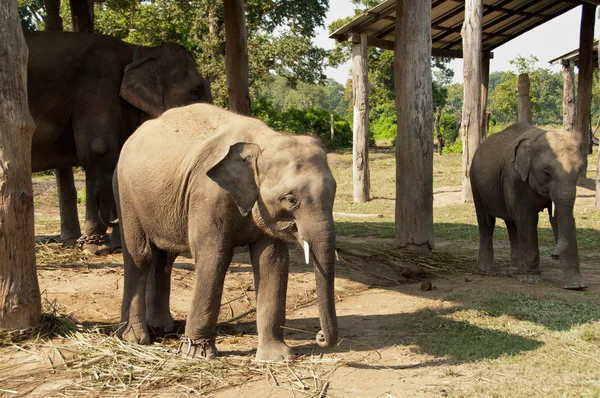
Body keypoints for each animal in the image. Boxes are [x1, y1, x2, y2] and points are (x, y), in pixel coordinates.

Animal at [25, 31, 213, 255]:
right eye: (196, 90)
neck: (140, 52)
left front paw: (116, 244)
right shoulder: (96, 88)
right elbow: (99, 149)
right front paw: (95, 247)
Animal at [112, 102, 338, 360]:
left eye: (334, 193)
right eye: (291, 200)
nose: (320, 336)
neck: (262, 140)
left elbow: (272, 261)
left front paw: (277, 357)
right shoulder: (208, 194)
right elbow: (214, 257)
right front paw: (197, 354)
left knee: (164, 259)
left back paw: (160, 328)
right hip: (125, 193)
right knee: (140, 256)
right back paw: (134, 338)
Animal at [468, 122, 584, 290]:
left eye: (579, 171)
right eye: (546, 172)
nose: (554, 255)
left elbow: (558, 220)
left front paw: (576, 285)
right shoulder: (515, 178)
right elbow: (527, 218)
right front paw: (531, 279)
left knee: (512, 224)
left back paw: (515, 272)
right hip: (476, 184)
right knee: (487, 222)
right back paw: (486, 271)